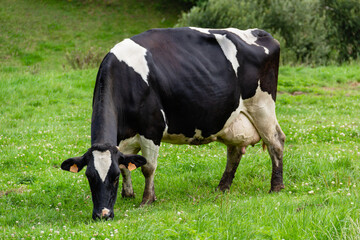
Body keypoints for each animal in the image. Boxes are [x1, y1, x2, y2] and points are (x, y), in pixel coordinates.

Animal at [62, 27, 286, 220]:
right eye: (89, 176)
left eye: (113, 177)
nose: (103, 214)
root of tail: (260, 32)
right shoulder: (125, 139)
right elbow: (128, 165)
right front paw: (128, 194)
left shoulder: (152, 128)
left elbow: (148, 167)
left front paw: (147, 200)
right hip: (232, 119)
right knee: (235, 152)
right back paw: (222, 188)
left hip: (262, 107)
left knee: (276, 142)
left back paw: (276, 187)